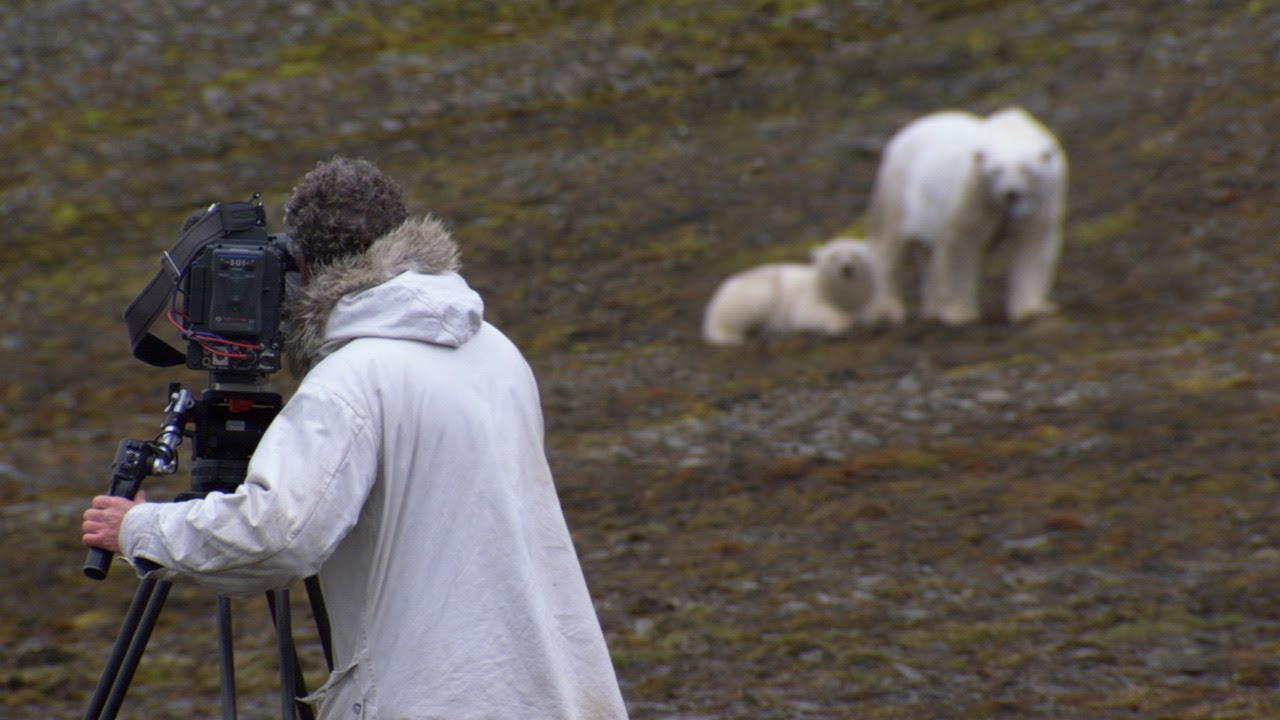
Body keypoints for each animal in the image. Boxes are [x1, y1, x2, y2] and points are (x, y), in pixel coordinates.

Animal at [701, 235, 880, 345]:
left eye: (855, 254)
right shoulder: (810, 296)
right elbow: (808, 312)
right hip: (756, 292)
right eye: (834, 256)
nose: (846, 268)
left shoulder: (867, 297)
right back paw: (732, 335)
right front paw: (842, 322)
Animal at [860, 105, 1070, 325]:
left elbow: (1033, 243)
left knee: (928, 254)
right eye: (995, 170)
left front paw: (1032, 310)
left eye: (1026, 169)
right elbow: (961, 244)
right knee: (888, 245)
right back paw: (886, 310)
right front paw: (959, 313)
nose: (1010, 193)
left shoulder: (1045, 195)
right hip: (896, 190)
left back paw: (933, 310)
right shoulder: (974, 192)